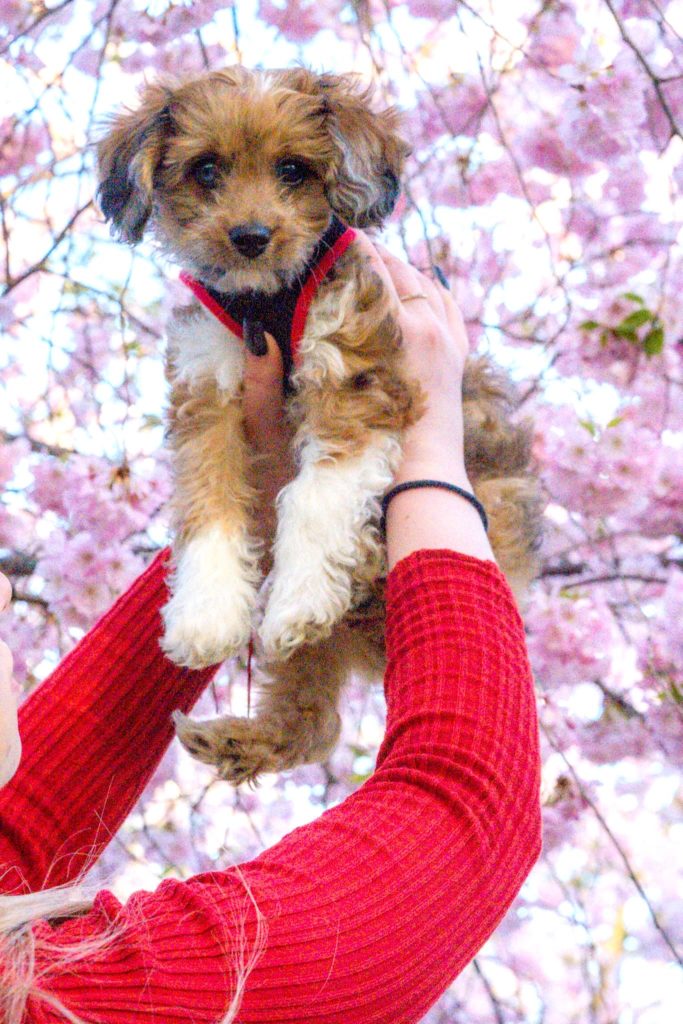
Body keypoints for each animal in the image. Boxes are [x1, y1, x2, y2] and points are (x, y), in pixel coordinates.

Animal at [97, 66, 544, 782]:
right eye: (206, 168)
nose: (251, 236)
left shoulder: (356, 373)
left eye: (293, 169)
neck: (266, 298)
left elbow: (316, 492)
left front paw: (302, 595)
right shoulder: (208, 388)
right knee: (312, 723)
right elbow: (209, 505)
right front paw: (204, 616)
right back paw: (233, 739)